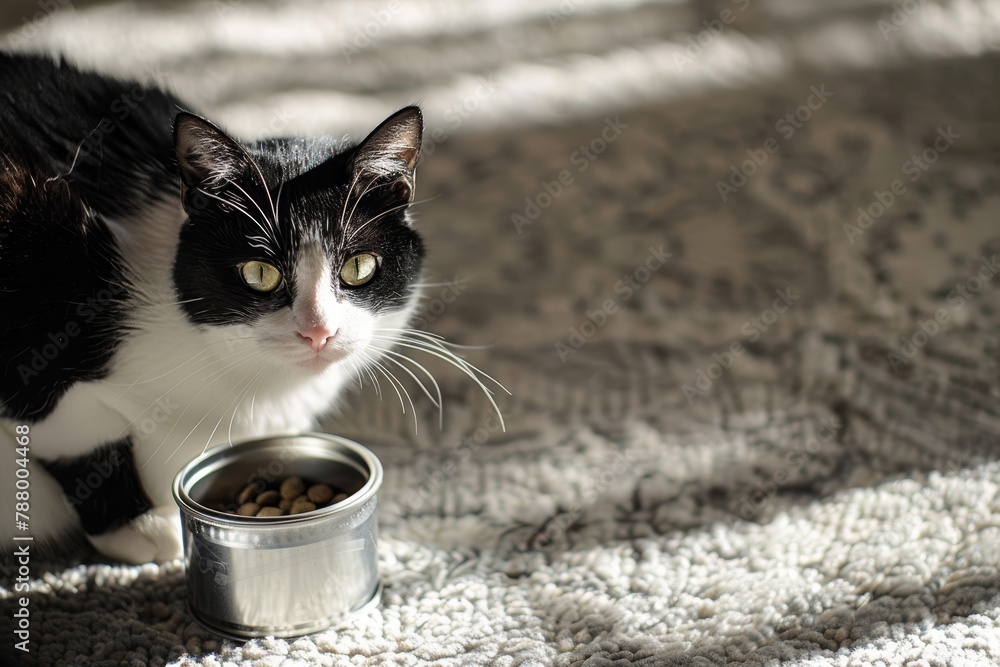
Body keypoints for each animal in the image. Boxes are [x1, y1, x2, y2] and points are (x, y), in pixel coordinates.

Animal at [0, 52, 464, 564]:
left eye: (359, 267)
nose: (318, 331)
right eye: (260, 273)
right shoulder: (39, 310)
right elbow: (77, 433)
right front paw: (139, 528)